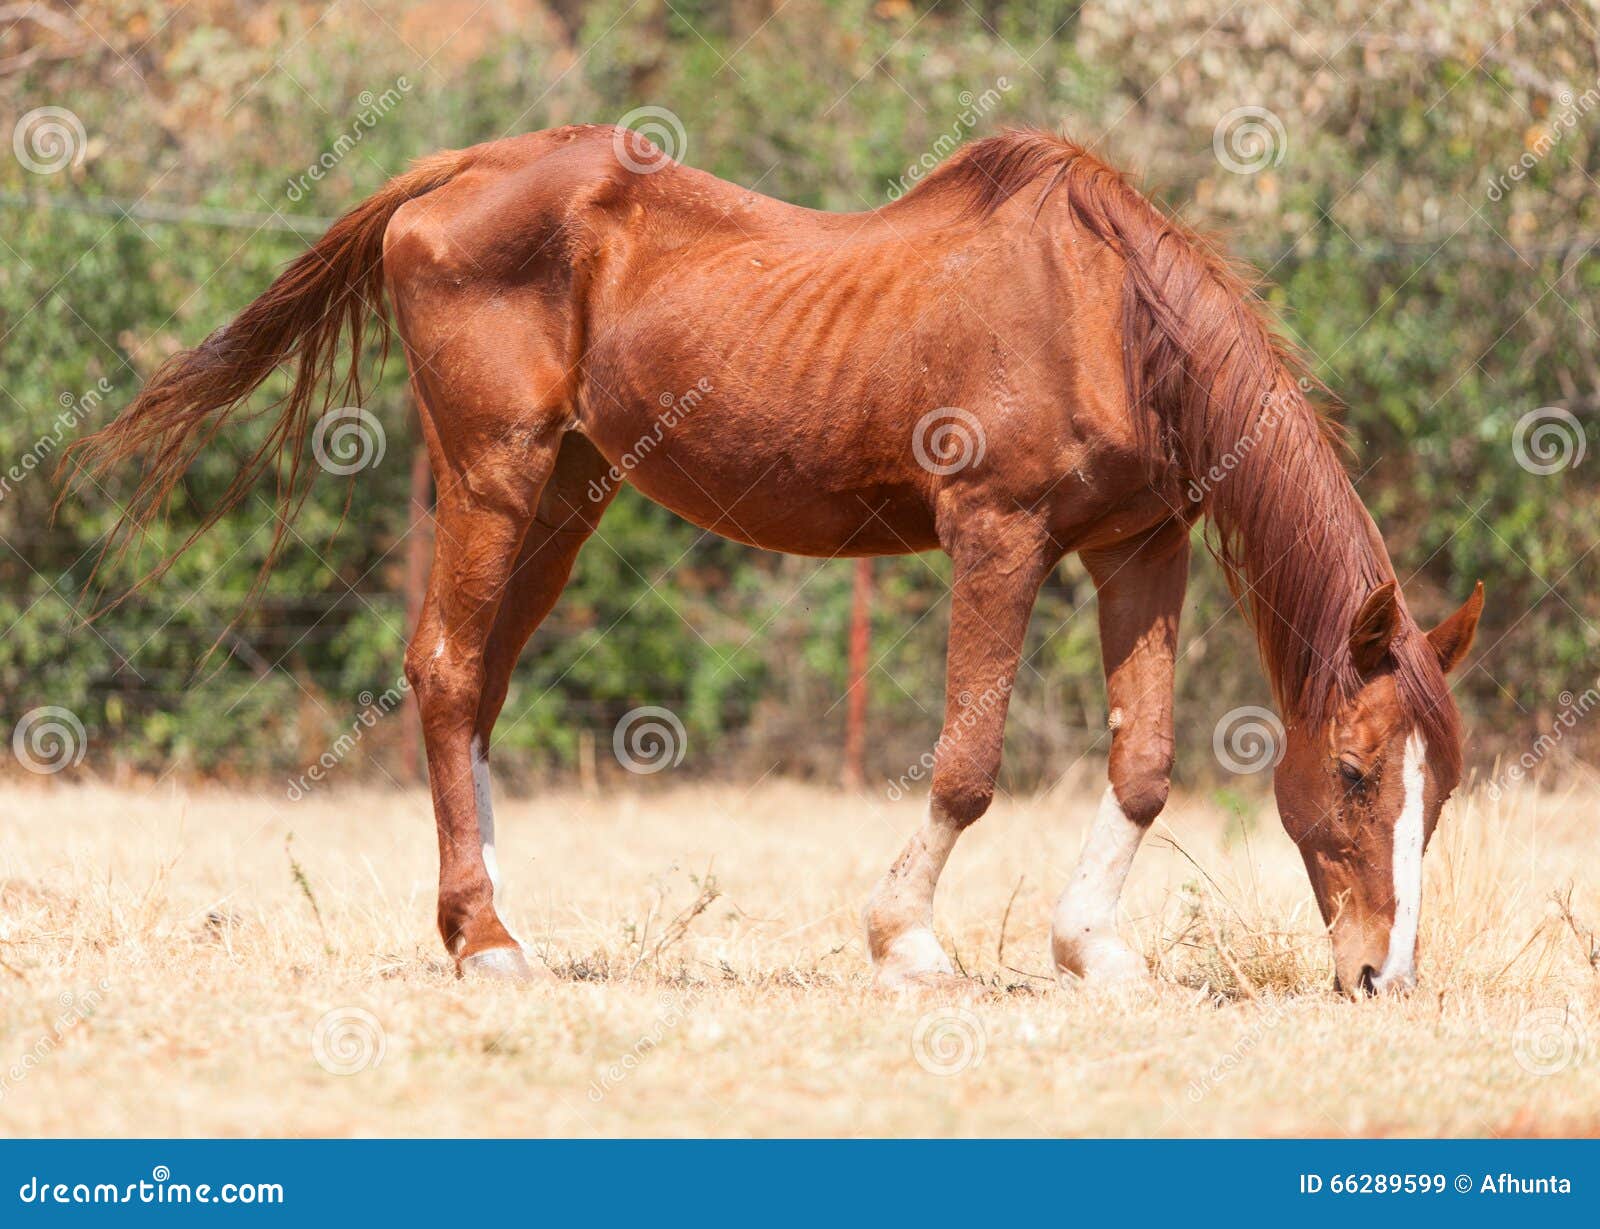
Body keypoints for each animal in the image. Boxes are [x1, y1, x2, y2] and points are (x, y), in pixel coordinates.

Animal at [69, 125, 1484, 996]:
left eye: (1443, 792)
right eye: (1356, 773)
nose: (1383, 973)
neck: (1104, 312)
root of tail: (455, 175)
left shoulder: (1138, 548)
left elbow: (1142, 768)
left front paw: (1091, 948)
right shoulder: (998, 535)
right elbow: (967, 763)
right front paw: (906, 942)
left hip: (571, 492)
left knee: (478, 688)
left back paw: (493, 916)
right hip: (492, 473)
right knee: (446, 666)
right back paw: (483, 937)